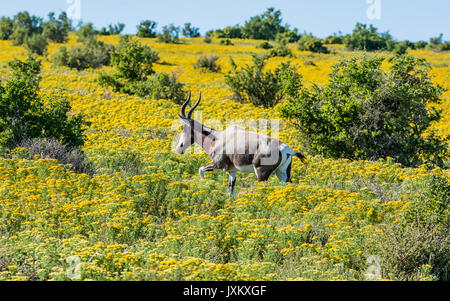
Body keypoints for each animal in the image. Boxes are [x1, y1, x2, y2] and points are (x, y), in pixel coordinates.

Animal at [176, 92, 306, 198]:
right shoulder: (232, 171)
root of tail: (285, 149)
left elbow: (200, 169)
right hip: (283, 173)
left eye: (183, 127)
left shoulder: (219, 165)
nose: (179, 148)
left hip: (261, 174)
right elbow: (230, 191)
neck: (217, 137)